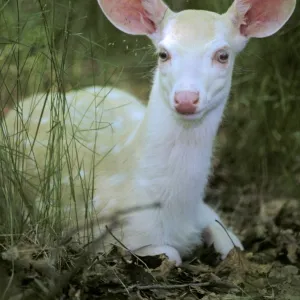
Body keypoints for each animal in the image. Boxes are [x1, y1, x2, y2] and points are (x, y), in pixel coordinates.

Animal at [2, 0, 296, 268]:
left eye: (223, 55)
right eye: (163, 54)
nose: (186, 99)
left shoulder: (205, 210)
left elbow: (234, 243)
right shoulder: (98, 235)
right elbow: (171, 254)